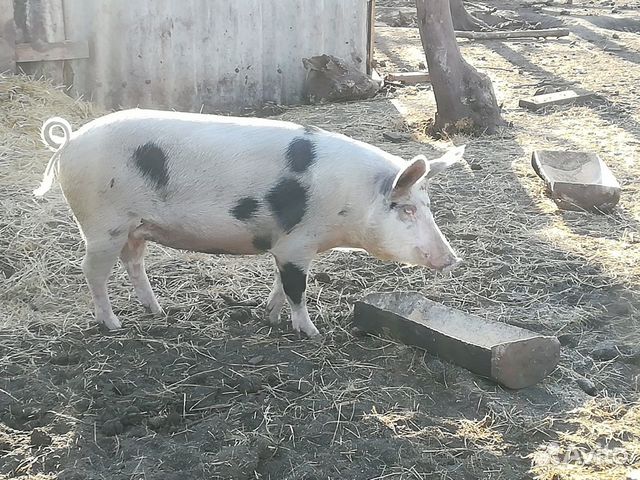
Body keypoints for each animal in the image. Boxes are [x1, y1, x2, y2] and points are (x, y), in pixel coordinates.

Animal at [35, 109, 462, 338]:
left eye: (427, 205)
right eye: (404, 208)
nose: (452, 258)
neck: (350, 199)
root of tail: (68, 142)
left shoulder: (286, 244)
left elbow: (281, 284)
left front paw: (268, 316)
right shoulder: (297, 243)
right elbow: (296, 288)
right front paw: (312, 333)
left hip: (135, 226)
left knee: (134, 263)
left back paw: (157, 312)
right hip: (101, 224)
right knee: (92, 271)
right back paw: (114, 325)